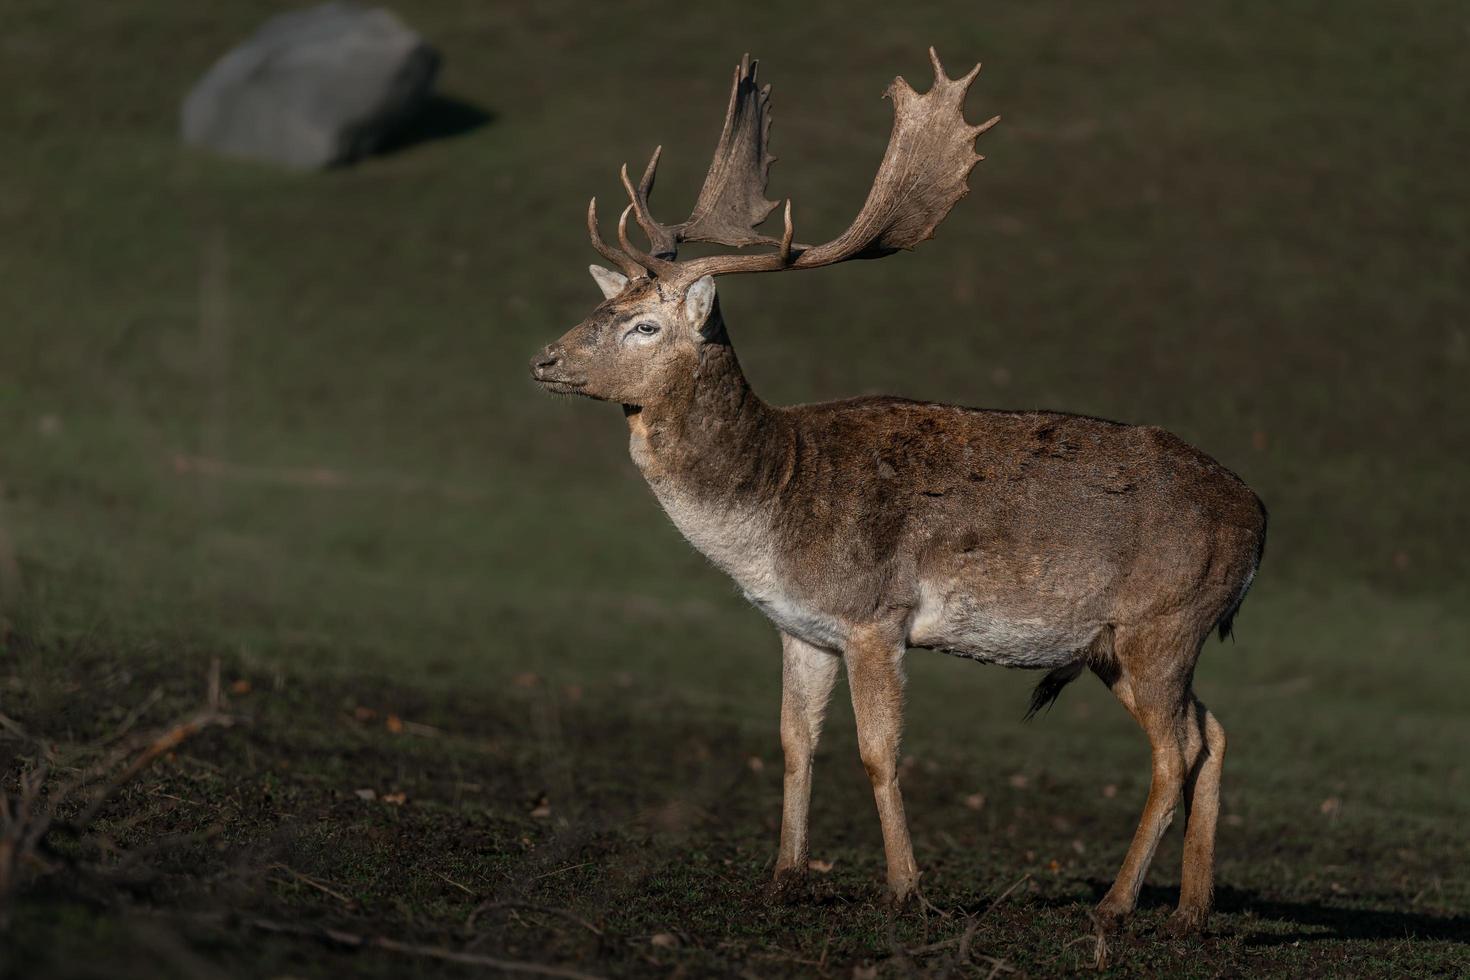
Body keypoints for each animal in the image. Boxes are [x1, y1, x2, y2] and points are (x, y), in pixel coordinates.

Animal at [529, 47, 1264, 934]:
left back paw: (1117, 904)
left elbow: (878, 752)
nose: (543, 359)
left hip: (1165, 621)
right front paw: (783, 878)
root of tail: (1262, 520)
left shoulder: (875, 614)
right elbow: (793, 742)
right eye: (606, 302)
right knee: (1212, 732)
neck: (773, 504)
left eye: (645, 325)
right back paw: (1191, 910)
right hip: (1119, 644)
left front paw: (907, 889)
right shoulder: (802, 626)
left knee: (1176, 748)